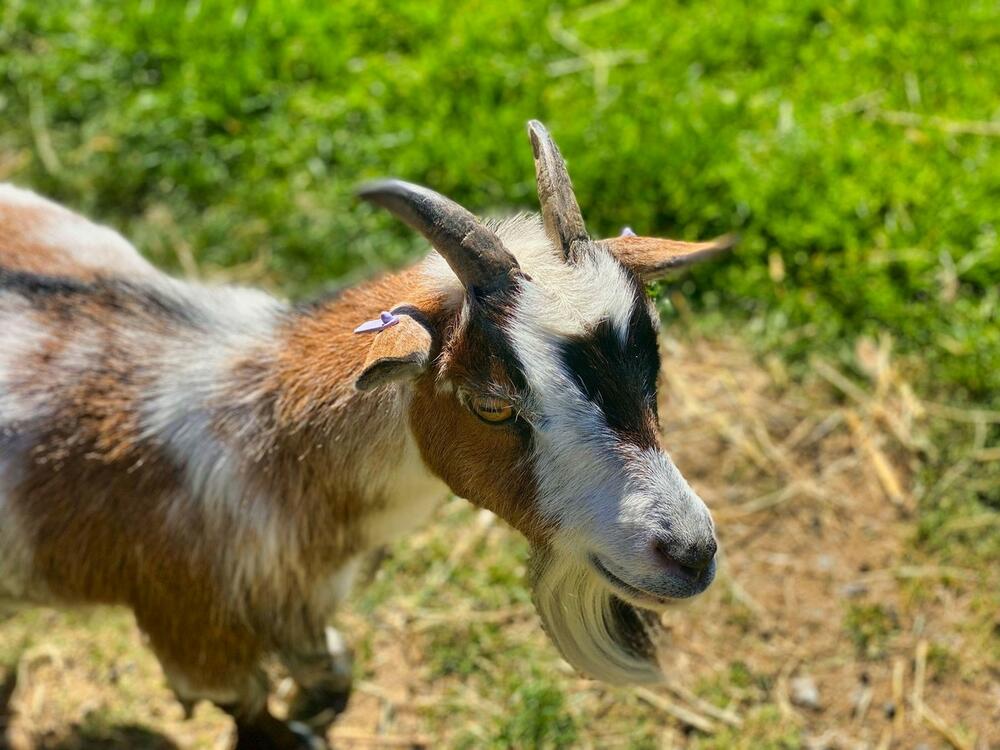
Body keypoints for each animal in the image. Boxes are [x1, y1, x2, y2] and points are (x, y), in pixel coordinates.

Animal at [0, 121, 733, 749]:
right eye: (490, 405)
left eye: (652, 361)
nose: (689, 552)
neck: (263, 430)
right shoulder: (191, 624)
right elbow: (247, 703)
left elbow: (332, 670)